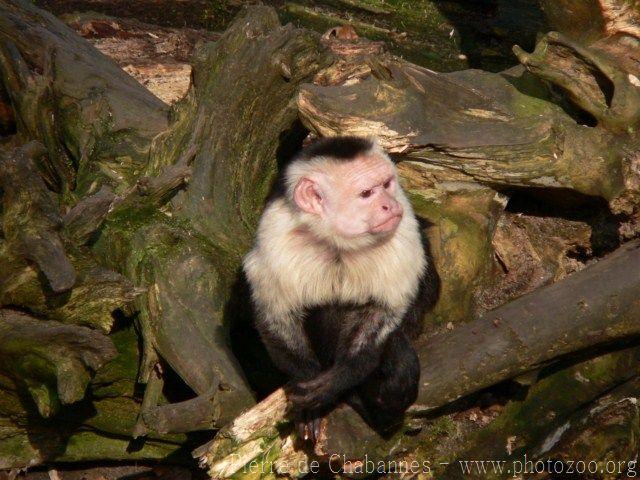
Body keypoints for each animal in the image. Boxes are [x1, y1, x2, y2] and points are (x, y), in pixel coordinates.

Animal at [242, 135, 438, 446]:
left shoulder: (403, 228)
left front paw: (339, 380)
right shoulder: (275, 236)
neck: (337, 241)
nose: (389, 205)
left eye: (386, 185)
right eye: (366, 194)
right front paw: (307, 383)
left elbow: (385, 311)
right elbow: (275, 318)